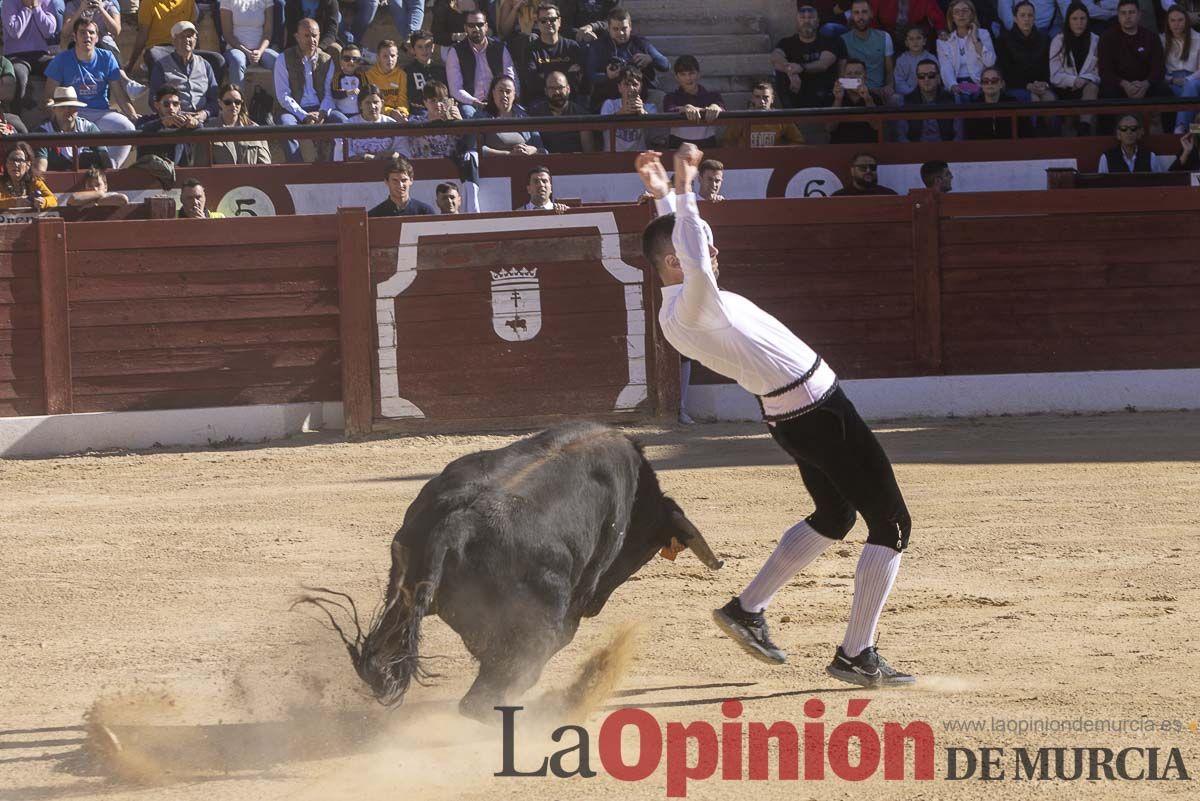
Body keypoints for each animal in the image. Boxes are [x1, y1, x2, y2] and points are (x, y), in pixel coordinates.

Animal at [304, 422, 724, 714]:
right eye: (645, 549)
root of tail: (455, 524)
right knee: (492, 689)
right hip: (536, 624)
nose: (595, 606)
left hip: (403, 596)